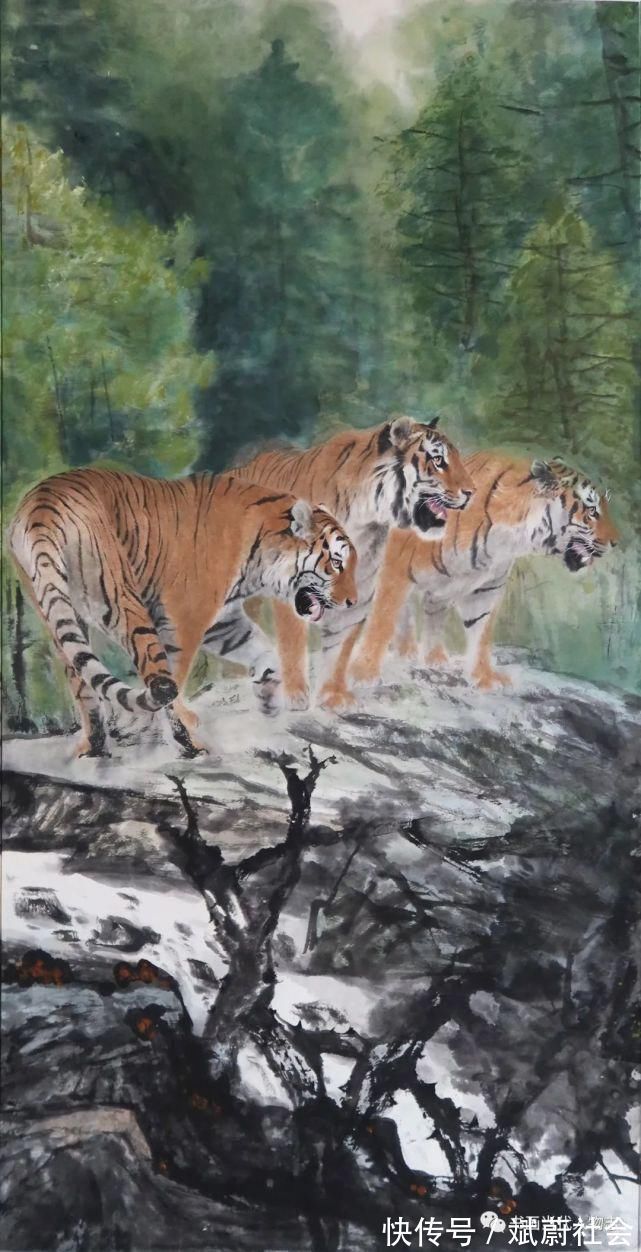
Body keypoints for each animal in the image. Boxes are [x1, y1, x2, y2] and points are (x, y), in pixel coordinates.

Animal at [9, 467, 358, 758]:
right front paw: (180, 723)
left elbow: (263, 650)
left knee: (80, 678)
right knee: (157, 675)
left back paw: (95, 747)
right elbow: (176, 670)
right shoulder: (185, 619)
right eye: (336, 562)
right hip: (120, 598)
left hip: (56, 609)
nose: (352, 602)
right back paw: (188, 742)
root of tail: (43, 503)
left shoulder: (225, 624)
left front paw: (269, 699)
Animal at [232, 414, 474, 709]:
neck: (368, 519)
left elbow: (340, 649)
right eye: (438, 460)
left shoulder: (360, 593)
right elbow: (292, 642)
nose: (472, 492)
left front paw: (334, 696)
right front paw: (295, 694)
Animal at [350, 453, 619, 691]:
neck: (510, 539)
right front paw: (363, 672)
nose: (616, 542)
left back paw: (431, 656)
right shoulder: (396, 568)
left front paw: (485, 677)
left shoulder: (485, 589)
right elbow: (382, 621)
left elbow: (480, 634)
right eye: (592, 510)